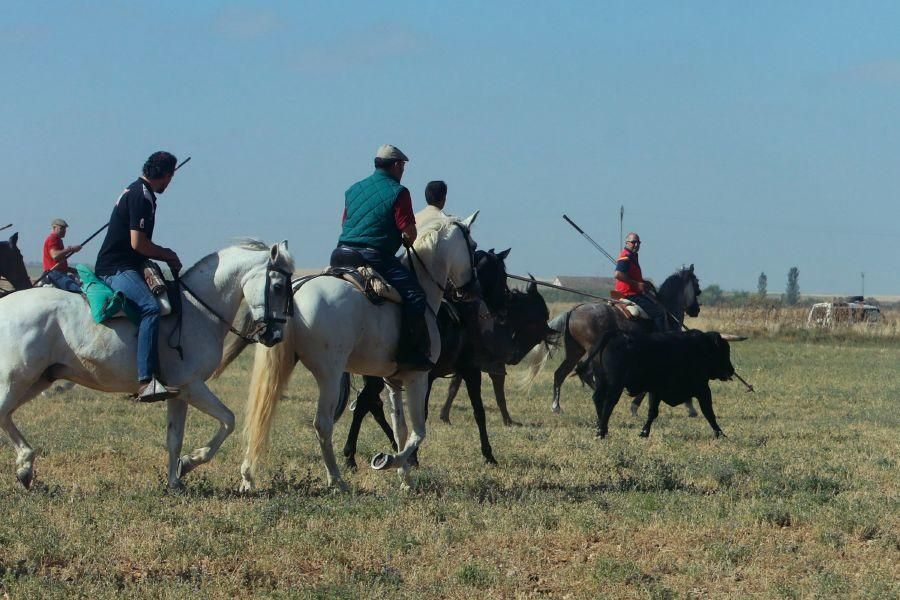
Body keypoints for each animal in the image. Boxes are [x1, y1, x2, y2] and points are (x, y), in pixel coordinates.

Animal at [0, 238, 294, 488]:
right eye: (278, 287)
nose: (275, 336)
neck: (197, 310)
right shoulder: (193, 385)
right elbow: (228, 420)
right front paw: (190, 463)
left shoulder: (179, 392)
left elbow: (175, 438)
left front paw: (175, 480)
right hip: (17, 379)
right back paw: (25, 465)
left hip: (37, 379)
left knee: (6, 414)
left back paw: (25, 467)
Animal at [239, 213, 478, 490]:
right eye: (473, 247)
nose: (471, 289)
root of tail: (295, 291)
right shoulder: (417, 377)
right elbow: (419, 431)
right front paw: (389, 461)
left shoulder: (393, 380)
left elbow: (401, 429)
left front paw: (405, 479)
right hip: (329, 376)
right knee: (323, 424)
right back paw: (336, 479)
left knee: (261, 413)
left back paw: (247, 477)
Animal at [338, 253, 552, 468]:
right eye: (502, 274)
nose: (502, 309)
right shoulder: (470, 370)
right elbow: (477, 411)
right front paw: (488, 454)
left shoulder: (437, 375)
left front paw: (413, 454)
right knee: (364, 404)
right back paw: (351, 456)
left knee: (373, 405)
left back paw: (392, 445)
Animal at [576, 330, 740, 438]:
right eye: (725, 351)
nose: (731, 370)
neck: (699, 348)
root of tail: (614, 334)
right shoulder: (703, 389)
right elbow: (709, 412)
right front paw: (720, 433)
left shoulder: (656, 390)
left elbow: (652, 412)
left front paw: (644, 432)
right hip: (615, 385)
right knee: (609, 403)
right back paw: (601, 432)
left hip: (602, 382)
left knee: (598, 400)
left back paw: (601, 427)